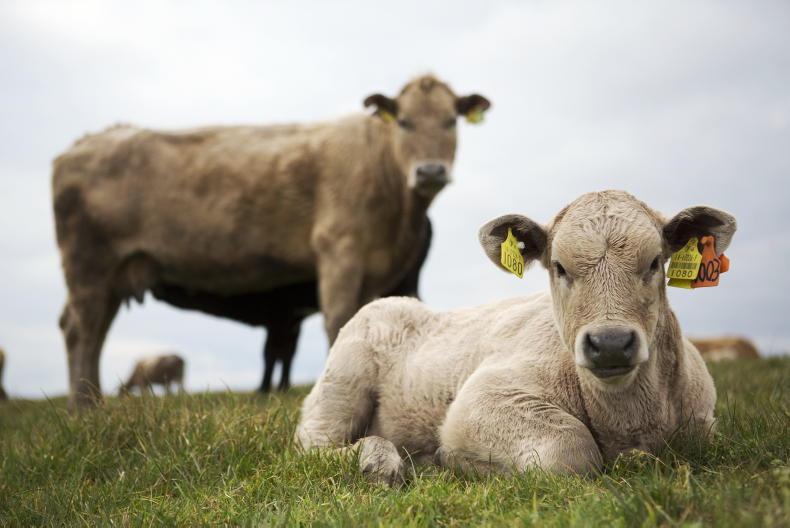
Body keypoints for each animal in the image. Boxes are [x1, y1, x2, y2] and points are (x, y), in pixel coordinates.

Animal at [151, 220, 432, 393]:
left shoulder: (282, 315)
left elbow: (275, 353)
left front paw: (267, 389)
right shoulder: (287, 317)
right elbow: (282, 353)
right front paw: (276, 388)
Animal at [296, 190, 736, 486]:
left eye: (654, 263)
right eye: (559, 267)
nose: (610, 342)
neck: (630, 421)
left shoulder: (704, 428)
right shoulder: (481, 399)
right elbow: (571, 450)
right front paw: (455, 461)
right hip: (340, 385)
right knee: (312, 444)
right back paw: (379, 460)